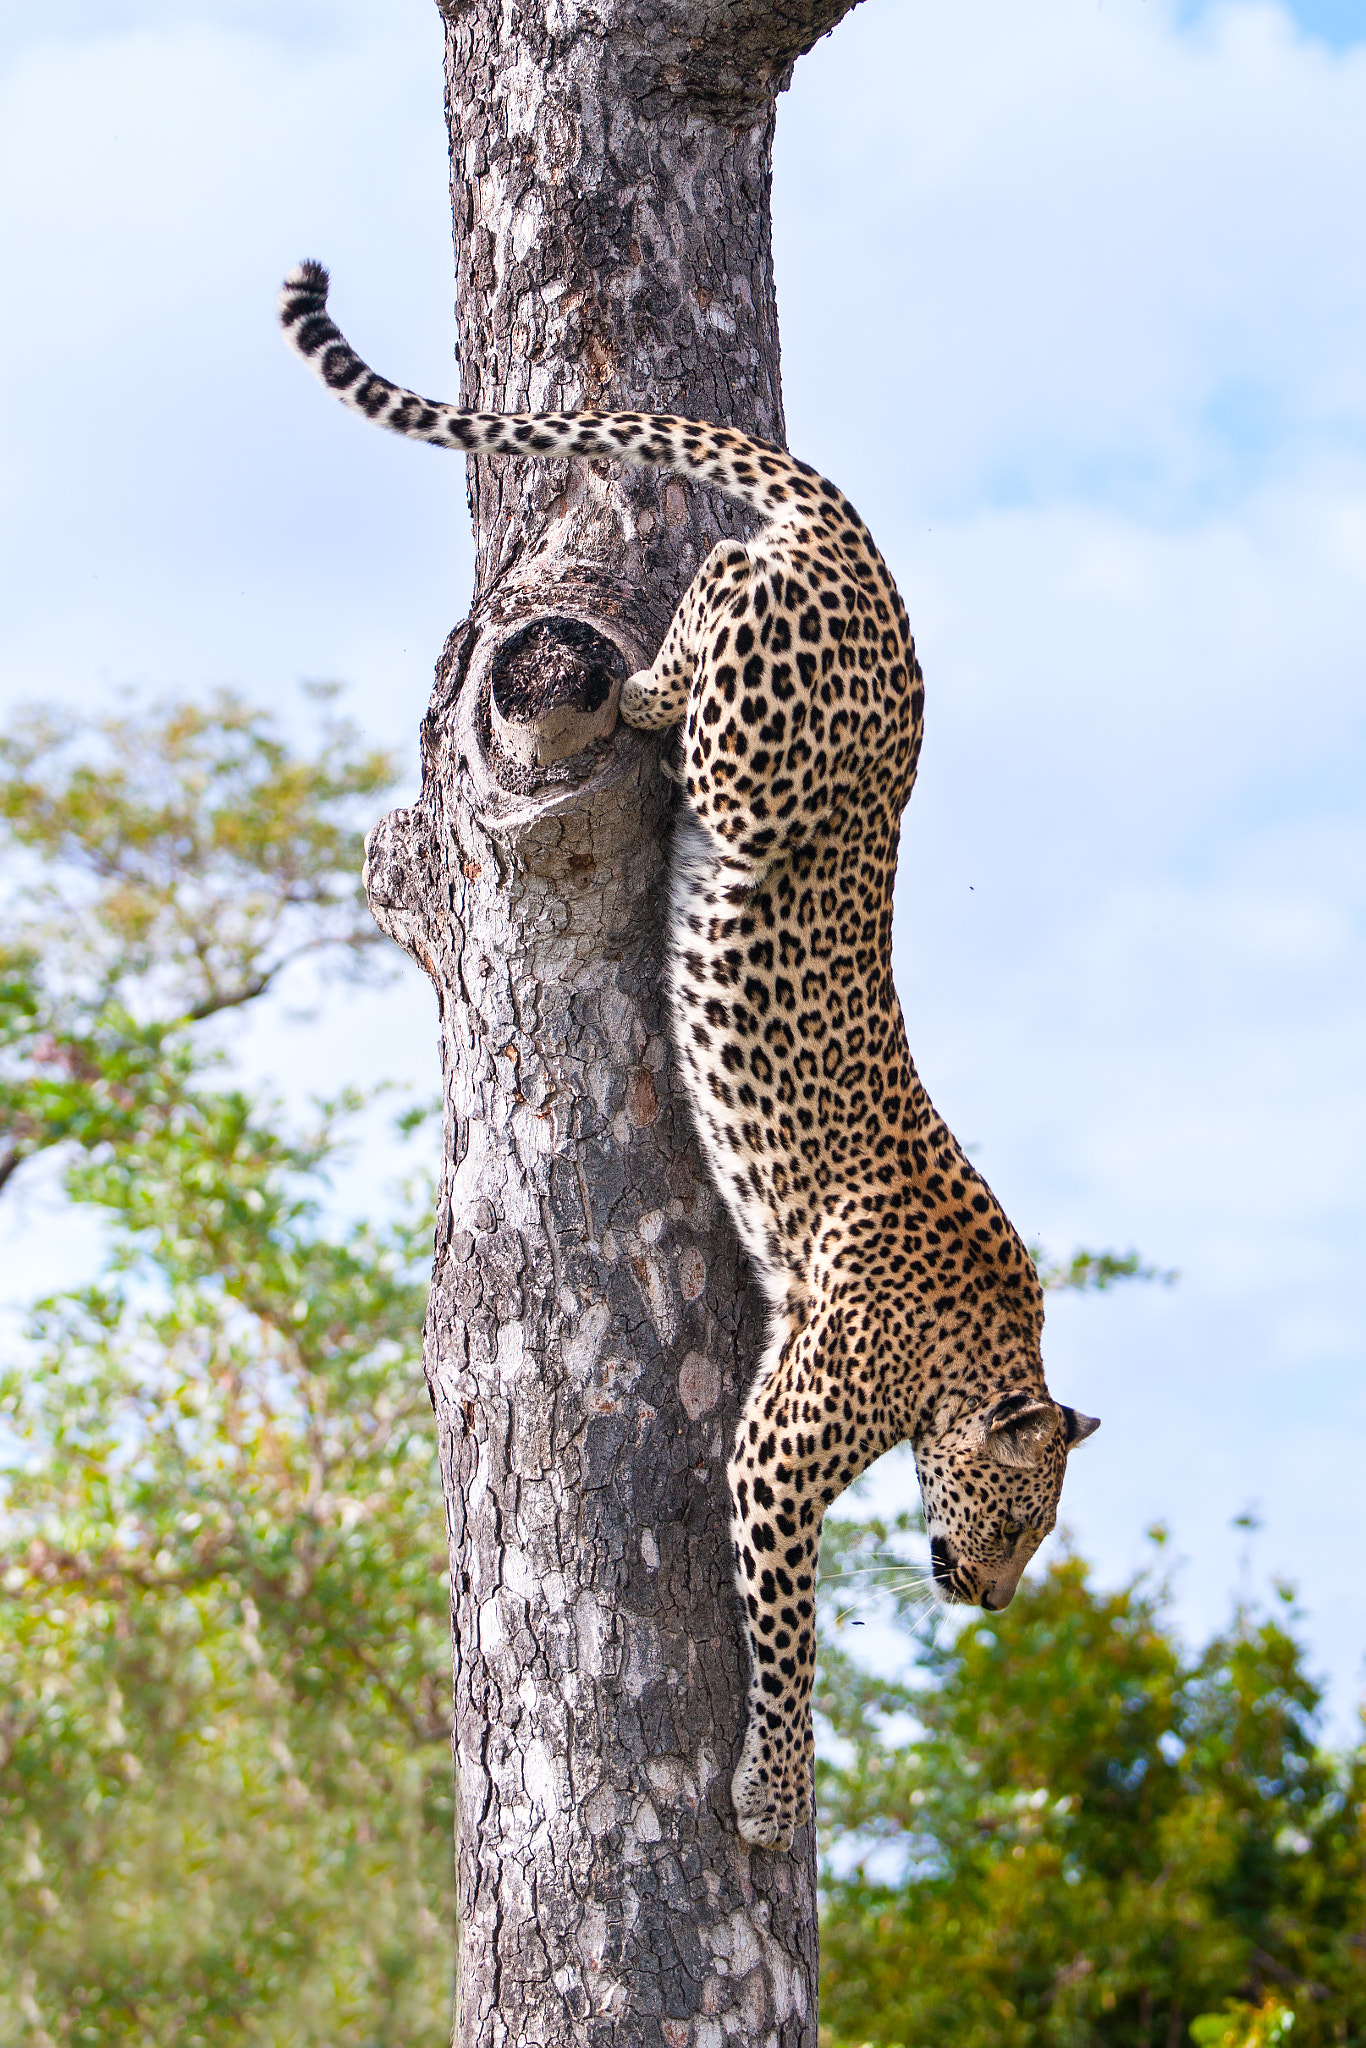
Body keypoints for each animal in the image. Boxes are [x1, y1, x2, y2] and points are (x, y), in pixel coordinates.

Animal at [278, 260, 1097, 1859]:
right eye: (1023, 1522)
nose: (990, 1596)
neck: (977, 1354)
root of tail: (862, 549)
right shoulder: (777, 1455)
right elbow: (794, 1633)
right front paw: (772, 1793)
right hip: (750, 736)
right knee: (695, 635)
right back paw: (655, 658)